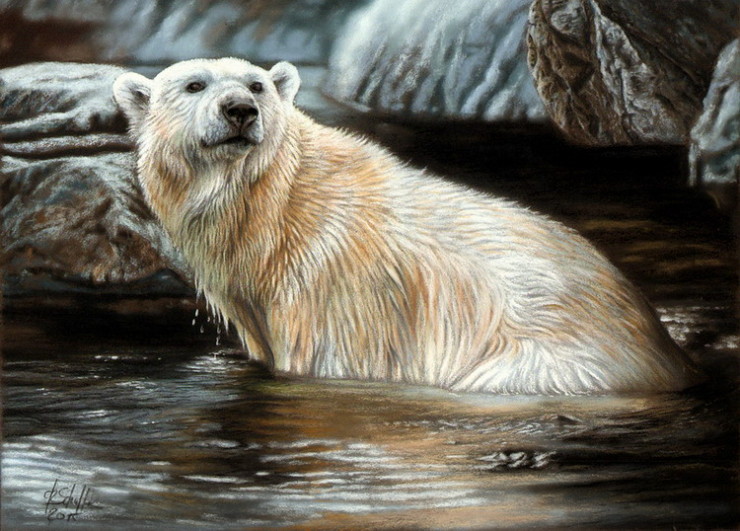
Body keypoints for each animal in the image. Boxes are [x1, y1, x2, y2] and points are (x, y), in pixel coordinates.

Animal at [113, 58, 702, 395]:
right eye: (194, 84)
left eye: (257, 85)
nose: (239, 109)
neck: (277, 212)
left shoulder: (335, 296)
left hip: (547, 361)